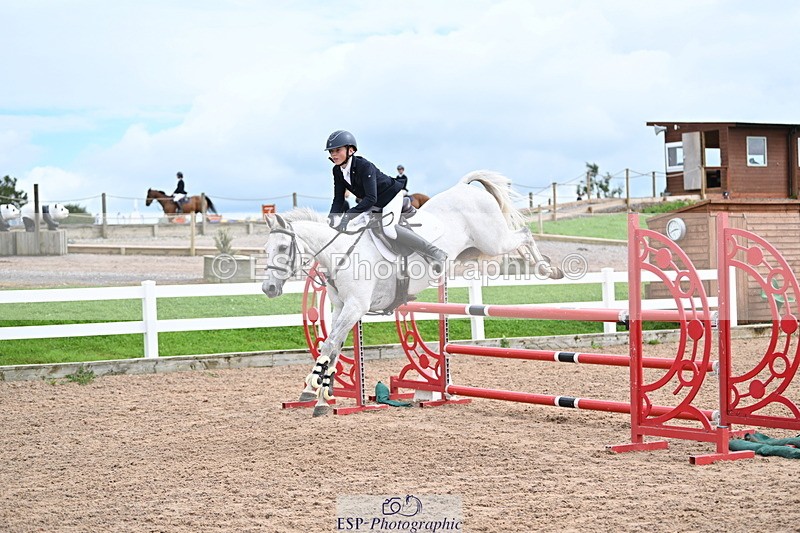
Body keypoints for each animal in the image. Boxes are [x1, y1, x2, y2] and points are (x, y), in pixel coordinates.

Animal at [261, 170, 563, 417]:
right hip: (477, 249)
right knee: (518, 241)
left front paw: (315, 387)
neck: (342, 253)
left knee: (524, 234)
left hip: (493, 240)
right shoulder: (341, 308)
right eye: (267, 248)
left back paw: (549, 270)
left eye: (282, 248)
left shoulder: (355, 307)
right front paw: (319, 395)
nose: (268, 288)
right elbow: (332, 347)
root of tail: (464, 187)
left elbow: (329, 345)